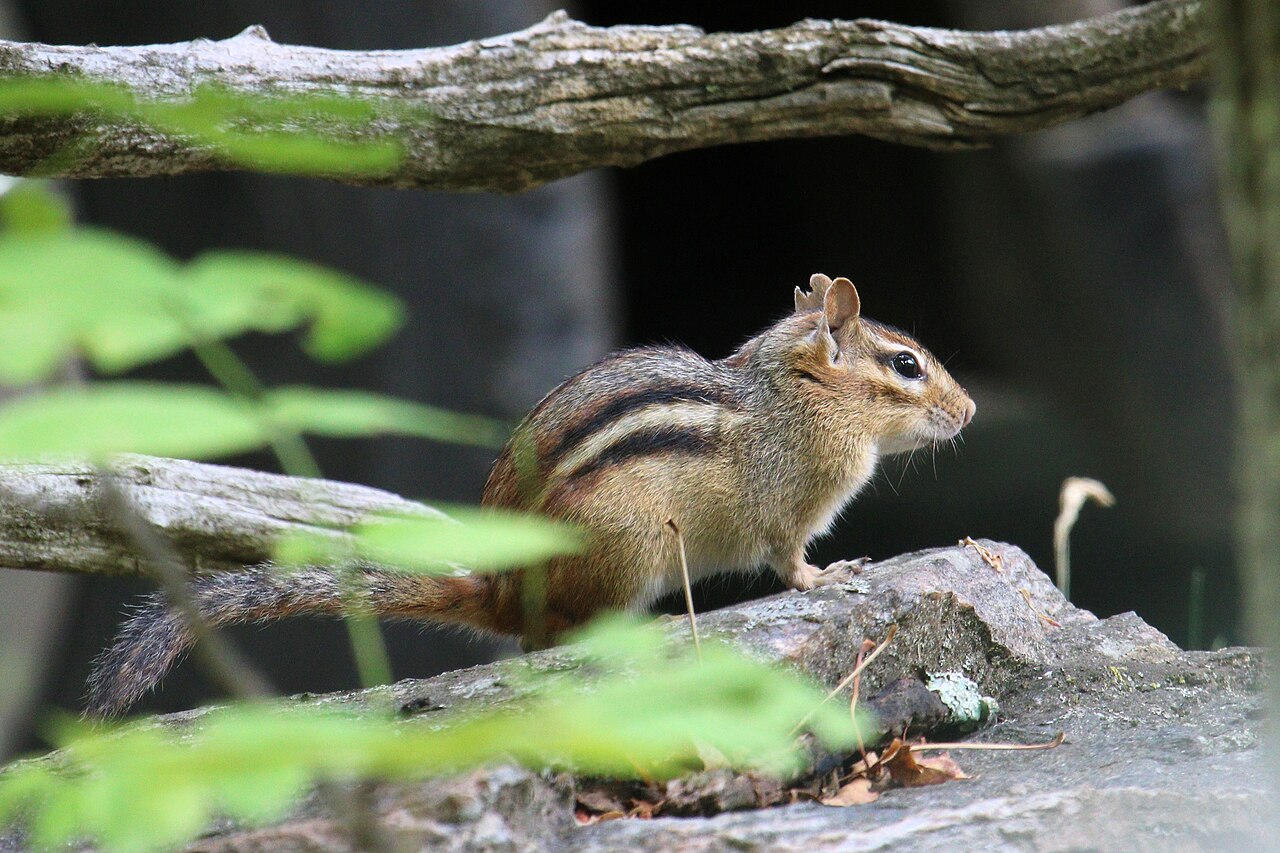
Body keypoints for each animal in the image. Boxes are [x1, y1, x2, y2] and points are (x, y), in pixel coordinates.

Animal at [84, 273, 975, 718]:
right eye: (905, 365)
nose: (969, 411)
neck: (794, 393)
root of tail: (501, 589)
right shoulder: (791, 502)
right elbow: (790, 558)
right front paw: (831, 575)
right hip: (631, 548)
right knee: (552, 640)